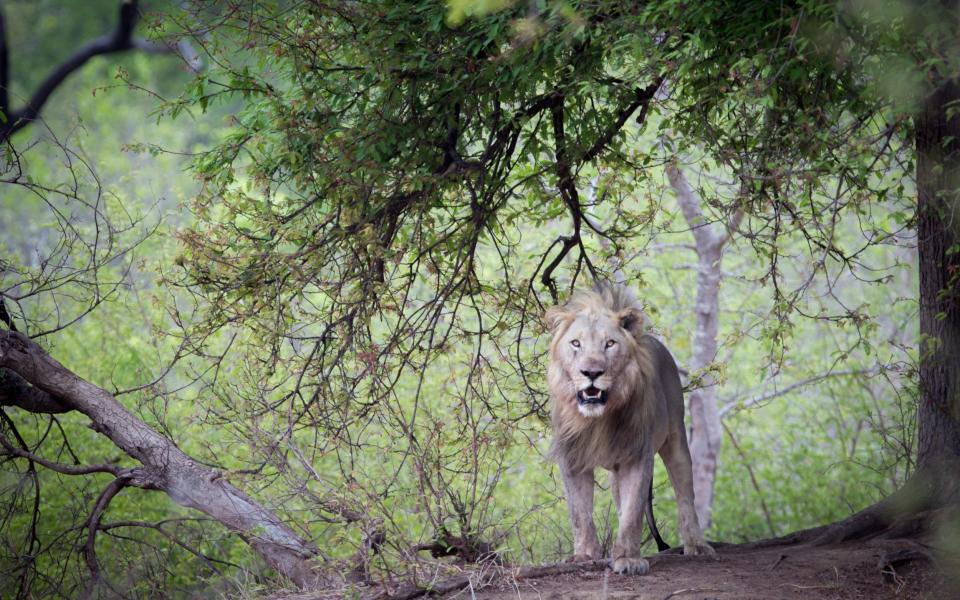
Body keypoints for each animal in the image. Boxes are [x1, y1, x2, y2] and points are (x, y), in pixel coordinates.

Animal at [548, 284, 712, 576]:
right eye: (576, 343)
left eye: (609, 344)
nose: (591, 372)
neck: (596, 420)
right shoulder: (572, 458)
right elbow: (580, 513)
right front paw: (584, 555)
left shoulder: (637, 457)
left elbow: (634, 510)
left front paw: (628, 559)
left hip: (676, 439)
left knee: (685, 496)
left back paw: (697, 545)